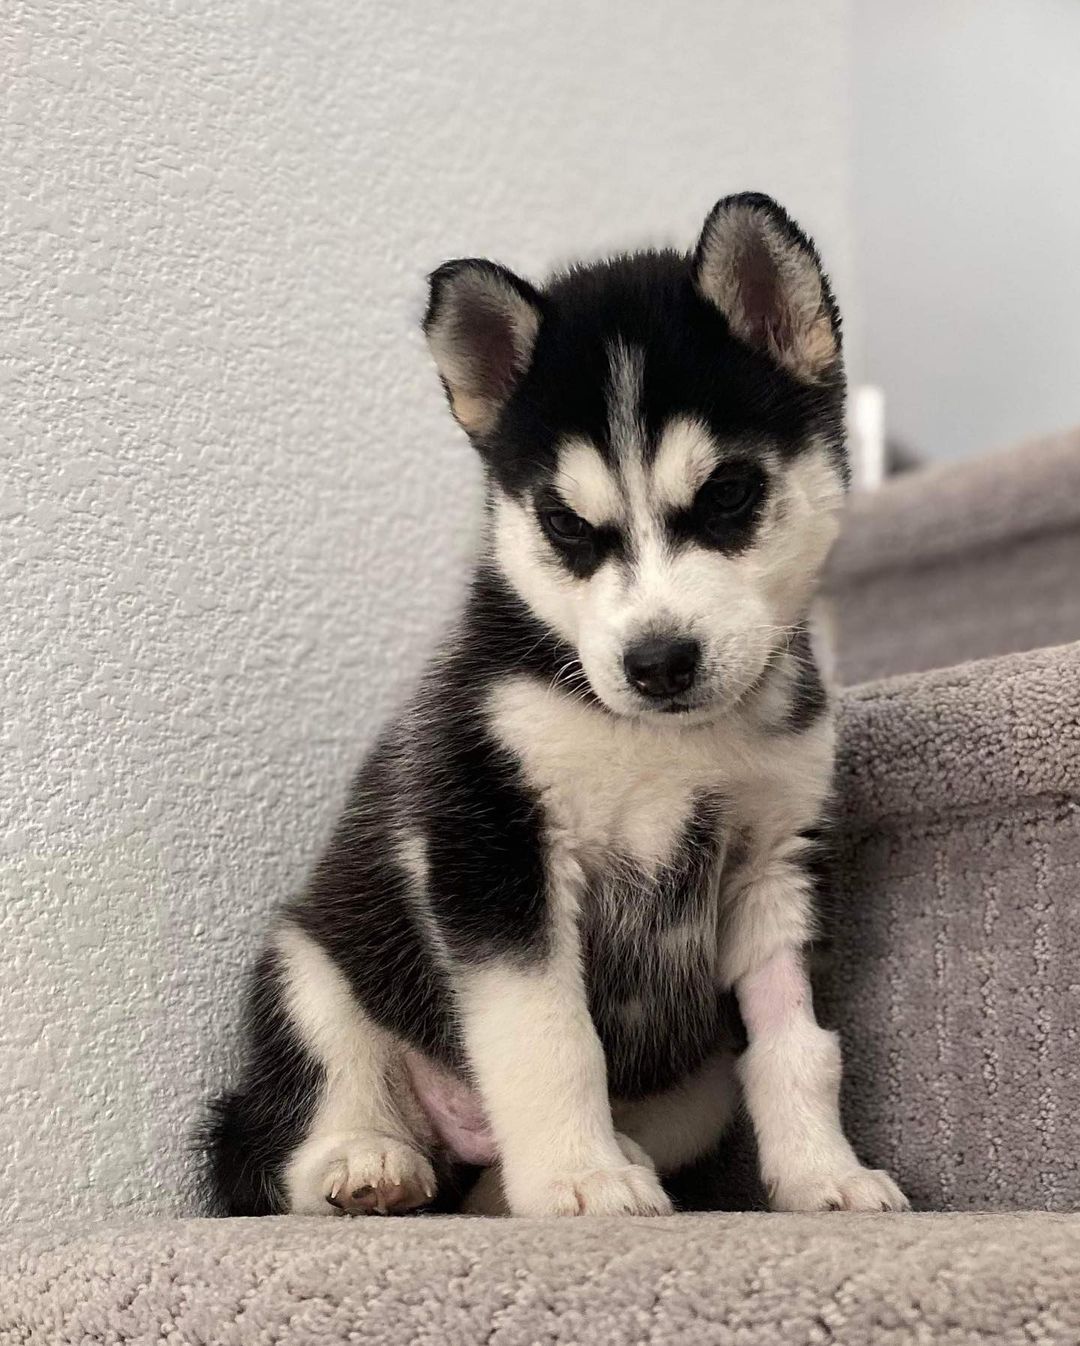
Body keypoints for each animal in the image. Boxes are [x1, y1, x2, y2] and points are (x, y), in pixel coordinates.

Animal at [204, 196, 910, 1222]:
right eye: (568, 526)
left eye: (729, 494)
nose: (658, 662)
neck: (666, 741)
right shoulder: (491, 844)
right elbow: (549, 1032)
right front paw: (578, 1177)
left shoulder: (774, 864)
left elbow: (799, 1048)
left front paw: (823, 1173)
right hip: (311, 965)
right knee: (299, 1130)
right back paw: (371, 1163)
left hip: (691, 1091)